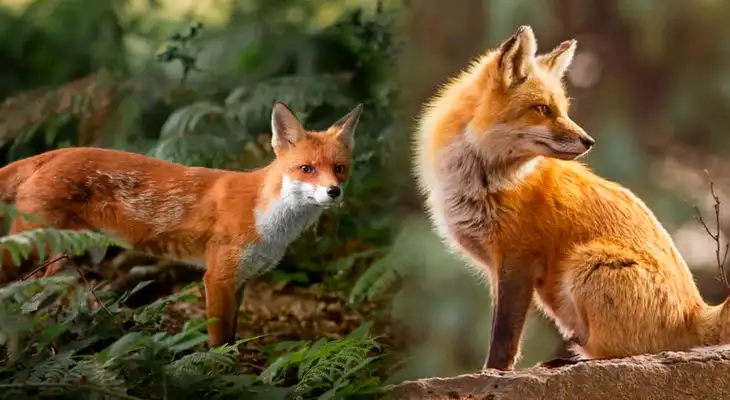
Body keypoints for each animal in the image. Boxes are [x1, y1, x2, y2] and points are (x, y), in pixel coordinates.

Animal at [0, 102, 363, 347]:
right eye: (307, 168)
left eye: (340, 169)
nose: (334, 192)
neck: (268, 217)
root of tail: (53, 153)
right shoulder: (217, 278)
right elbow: (219, 343)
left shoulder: (242, 281)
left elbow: (233, 337)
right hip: (34, 249)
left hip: (73, 259)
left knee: (38, 301)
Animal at [413, 24, 730, 371]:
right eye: (542, 109)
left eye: (563, 109)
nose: (589, 141)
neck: (487, 179)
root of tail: (696, 312)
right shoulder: (500, 268)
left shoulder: (517, 259)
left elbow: (504, 338)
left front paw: (494, 373)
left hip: (586, 262)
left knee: (623, 354)